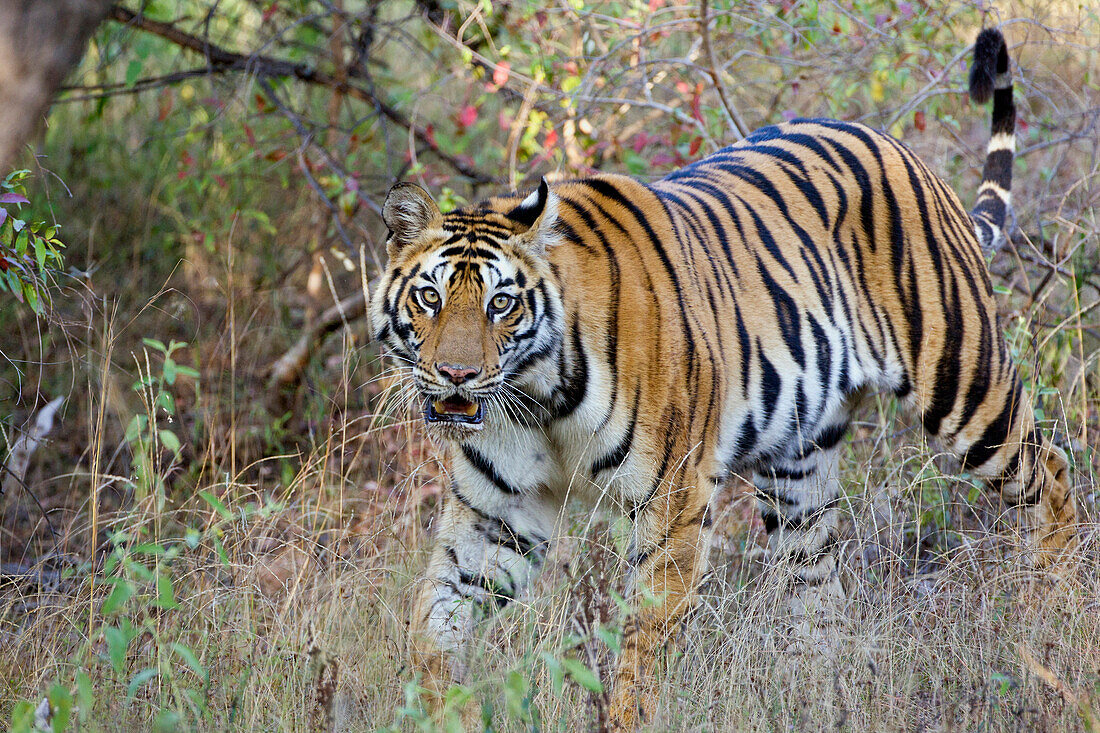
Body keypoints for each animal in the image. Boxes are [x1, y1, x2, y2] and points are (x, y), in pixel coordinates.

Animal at [374, 27, 1078, 726]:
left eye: (502, 304)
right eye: (431, 297)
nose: (456, 374)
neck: (539, 396)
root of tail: (895, 144)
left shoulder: (673, 503)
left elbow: (642, 650)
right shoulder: (495, 512)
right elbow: (436, 625)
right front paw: (433, 710)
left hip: (963, 382)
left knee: (1052, 471)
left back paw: (1050, 619)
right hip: (799, 466)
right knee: (815, 585)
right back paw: (812, 697)